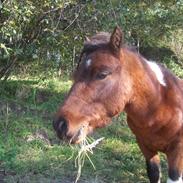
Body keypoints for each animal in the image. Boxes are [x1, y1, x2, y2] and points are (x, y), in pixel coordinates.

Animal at [52, 26, 183, 182]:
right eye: (76, 74)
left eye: (102, 74)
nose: (60, 124)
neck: (160, 107)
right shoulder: (146, 148)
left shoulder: (177, 153)